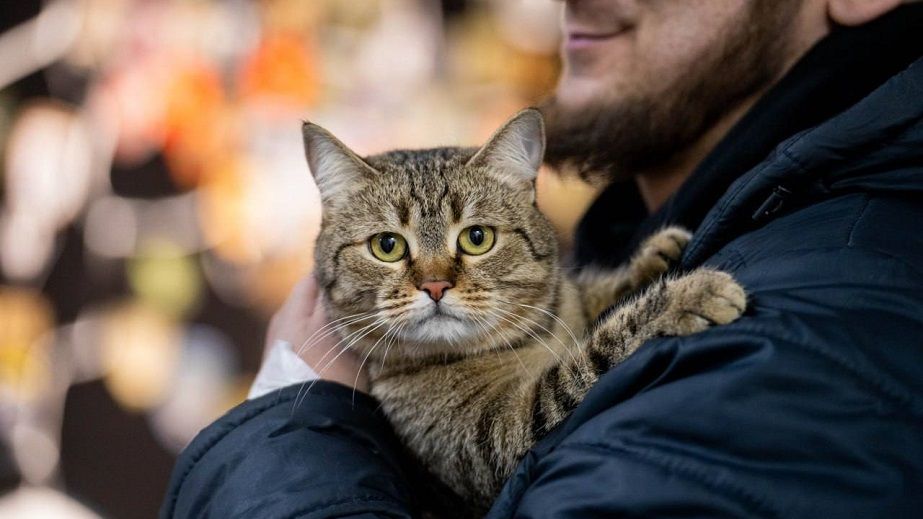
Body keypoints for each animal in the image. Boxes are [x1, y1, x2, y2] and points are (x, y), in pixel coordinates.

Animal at [304, 109, 752, 516]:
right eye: (387, 246)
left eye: (477, 238)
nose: (435, 285)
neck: (527, 340)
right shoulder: (496, 440)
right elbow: (588, 360)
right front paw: (683, 296)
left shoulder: (564, 303)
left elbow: (588, 298)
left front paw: (654, 257)